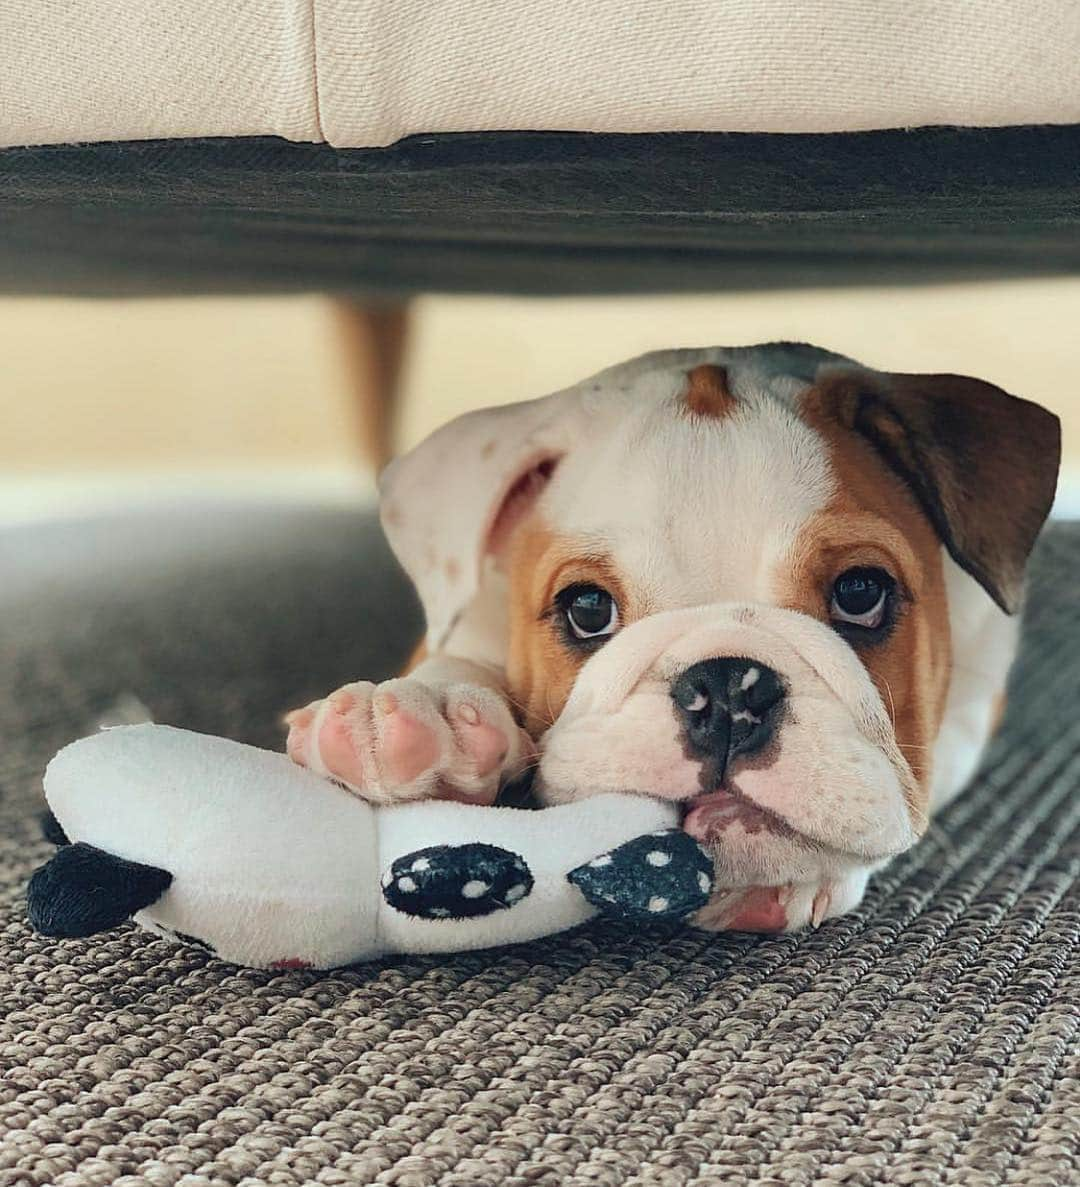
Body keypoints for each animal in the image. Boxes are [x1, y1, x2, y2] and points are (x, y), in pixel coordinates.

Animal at [284, 346, 1058, 930]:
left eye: (862, 593)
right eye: (587, 608)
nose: (729, 687)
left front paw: (795, 871)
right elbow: (452, 659)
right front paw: (421, 718)